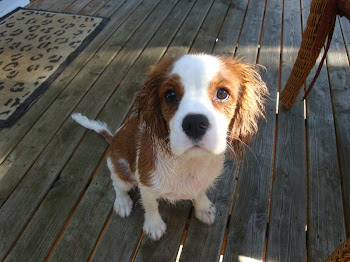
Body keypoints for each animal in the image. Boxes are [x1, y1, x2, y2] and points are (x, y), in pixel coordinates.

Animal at [72, 54, 268, 241]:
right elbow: (151, 205)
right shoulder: (146, 183)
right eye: (170, 95)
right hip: (120, 170)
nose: (194, 123)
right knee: (118, 185)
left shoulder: (203, 180)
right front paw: (154, 225)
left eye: (222, 93)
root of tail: (113, 139)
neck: (189, 162)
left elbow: (200, 192)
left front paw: (203, 208)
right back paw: (122, 203)